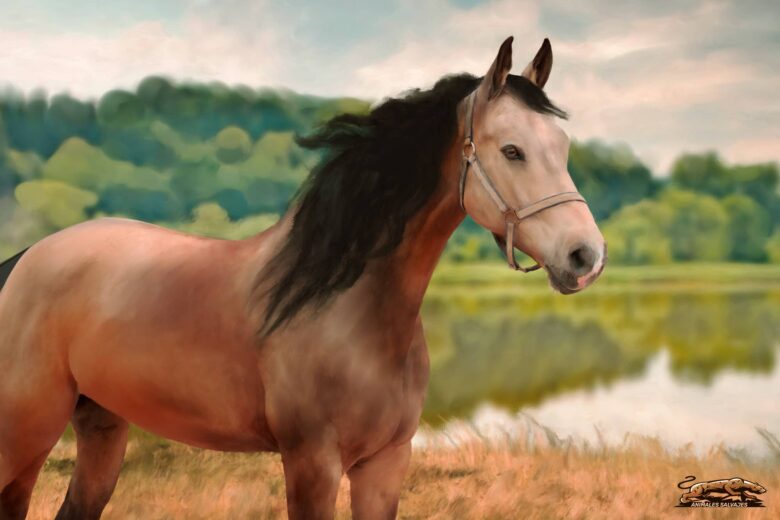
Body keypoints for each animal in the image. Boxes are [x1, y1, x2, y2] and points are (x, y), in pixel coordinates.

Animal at [0, 36, 605, 519]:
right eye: (512, 150)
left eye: (563, 148)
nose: (586, 256)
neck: (347, 308)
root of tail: (25, 259)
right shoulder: (313, 463)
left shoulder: (384, 464)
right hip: (24, 439)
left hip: (101, 429)